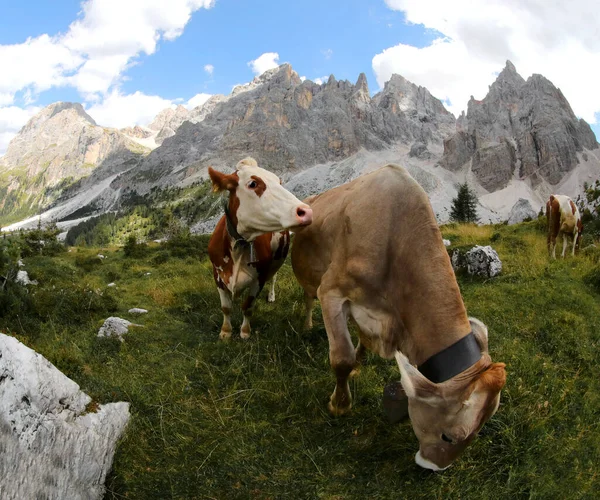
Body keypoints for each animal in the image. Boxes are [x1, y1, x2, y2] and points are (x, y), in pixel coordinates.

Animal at [207, 158, 312, 342]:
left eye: (279, 182)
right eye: (253, 183)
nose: (306, 212)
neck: (239, 247)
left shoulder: (260, 277)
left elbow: (247, 306)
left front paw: (245, 332)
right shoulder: (217, 274)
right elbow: (226, 307)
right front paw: (225, 332)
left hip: (276, 262)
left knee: (274, 277)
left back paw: (271, 296)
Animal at [290, 165, 506, 472]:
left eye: (478, 433)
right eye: (449, 437)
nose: (434, 467)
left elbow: (363, 343)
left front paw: (359, 365)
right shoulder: (331, 291)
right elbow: (341, 359)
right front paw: (340, 405)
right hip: (310, 277)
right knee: (308, 297)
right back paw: (307, 324)